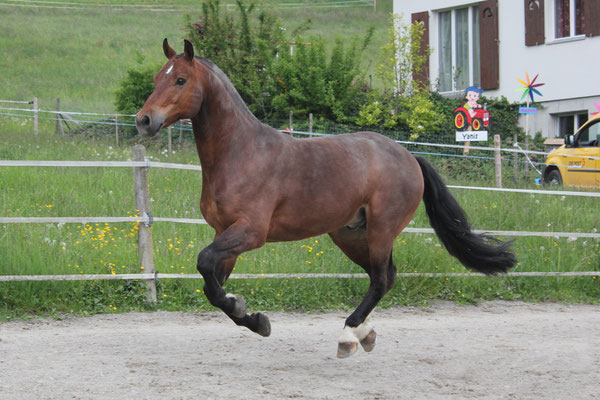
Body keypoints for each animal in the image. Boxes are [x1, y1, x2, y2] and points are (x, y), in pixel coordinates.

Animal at [136, 39, 516, 360]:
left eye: (181, 80)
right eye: (156, 78)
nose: (144, 120)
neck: (242, 153)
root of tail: (408, 156)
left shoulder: (250, 233)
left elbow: (205, 267)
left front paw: (255, 318)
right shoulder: (224, 234)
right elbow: (211, 286)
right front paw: (250, 315)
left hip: (381, 229)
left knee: (382, 278)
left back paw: (348, 335)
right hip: (350, 234)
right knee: (384, 276)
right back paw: (365, 334)